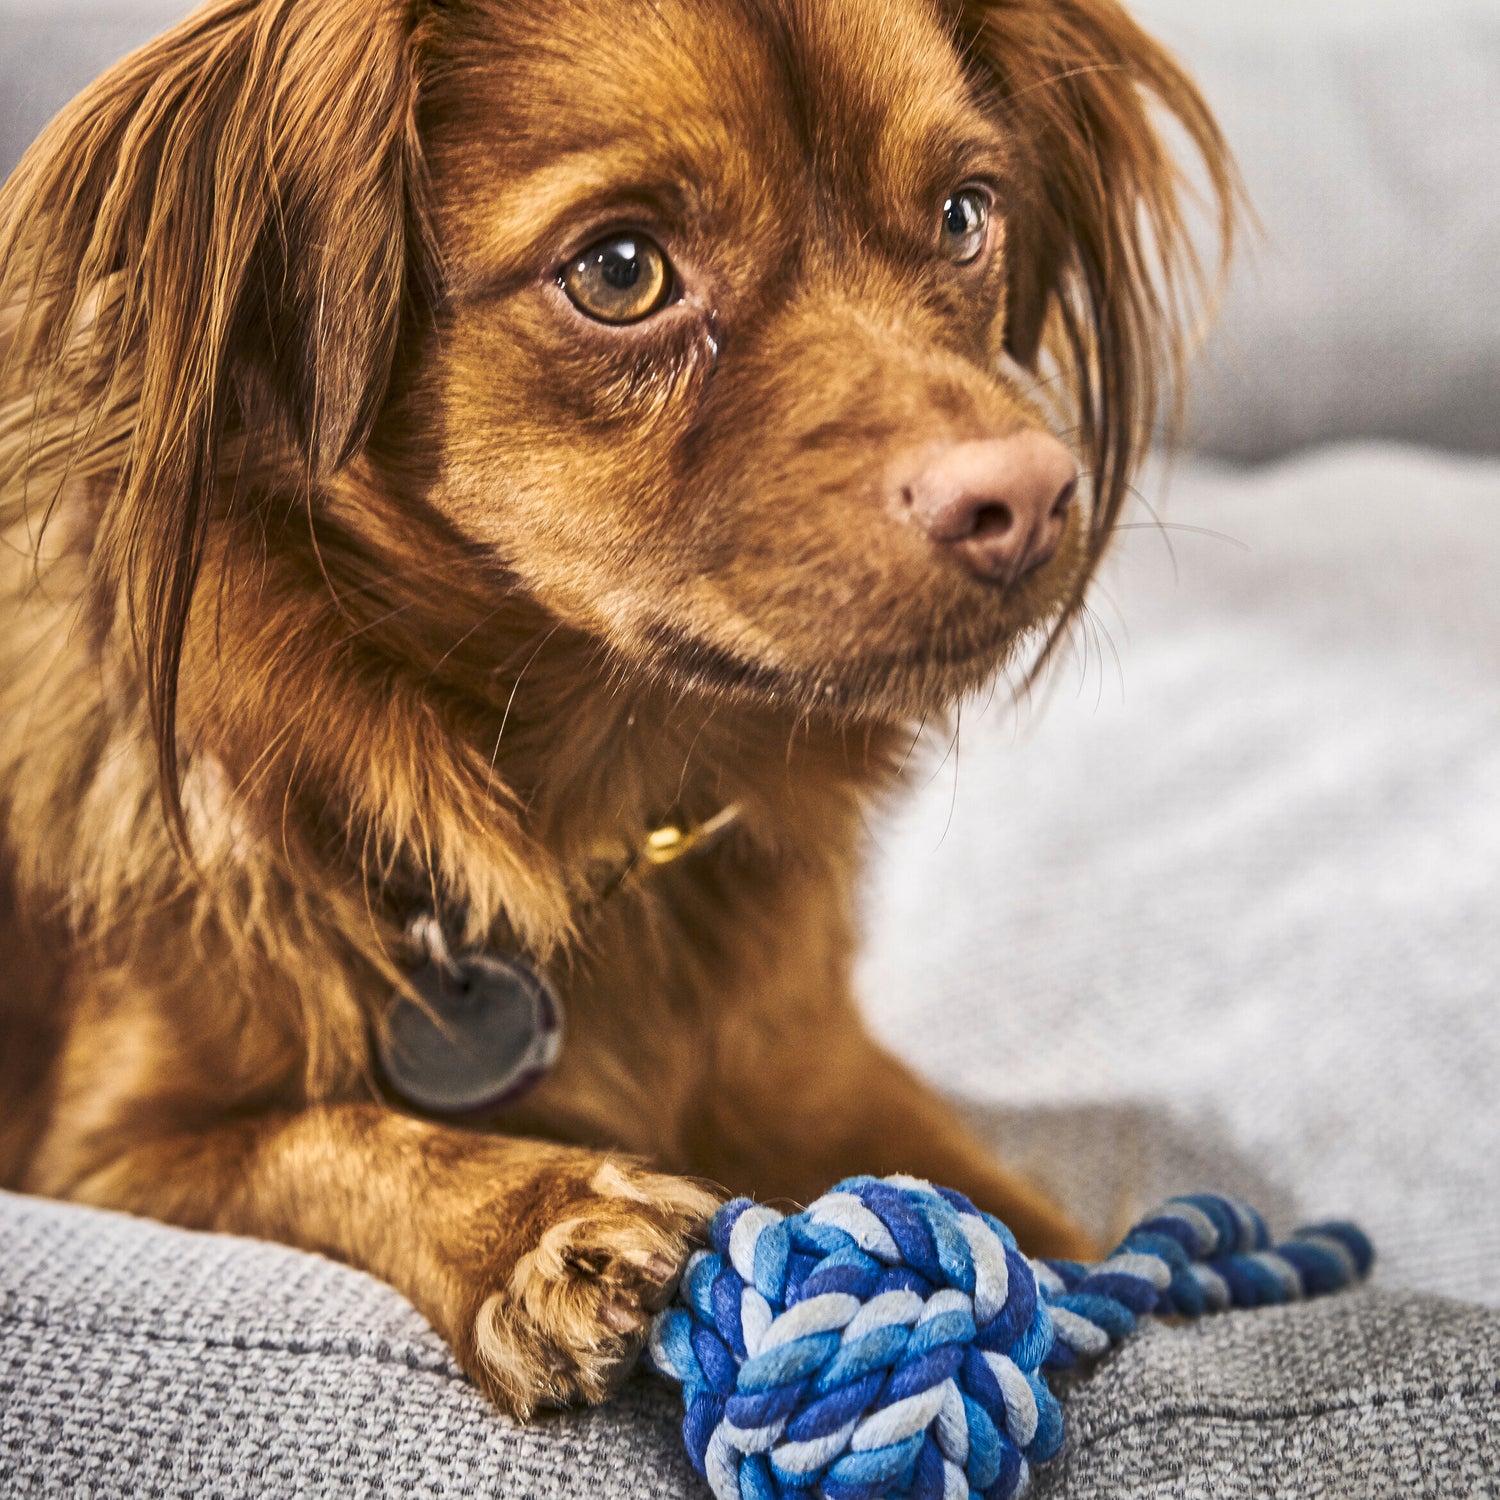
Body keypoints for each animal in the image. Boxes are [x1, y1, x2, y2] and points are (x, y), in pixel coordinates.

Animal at [0, 0, 1230, 1416]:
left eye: (967, 216)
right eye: (622, 271)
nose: (1029, 495)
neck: (589, 795)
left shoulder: (813, 1066)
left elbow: (1043, 1220)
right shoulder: (96, 1151)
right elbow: (315, 1139)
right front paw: (536, 1224)